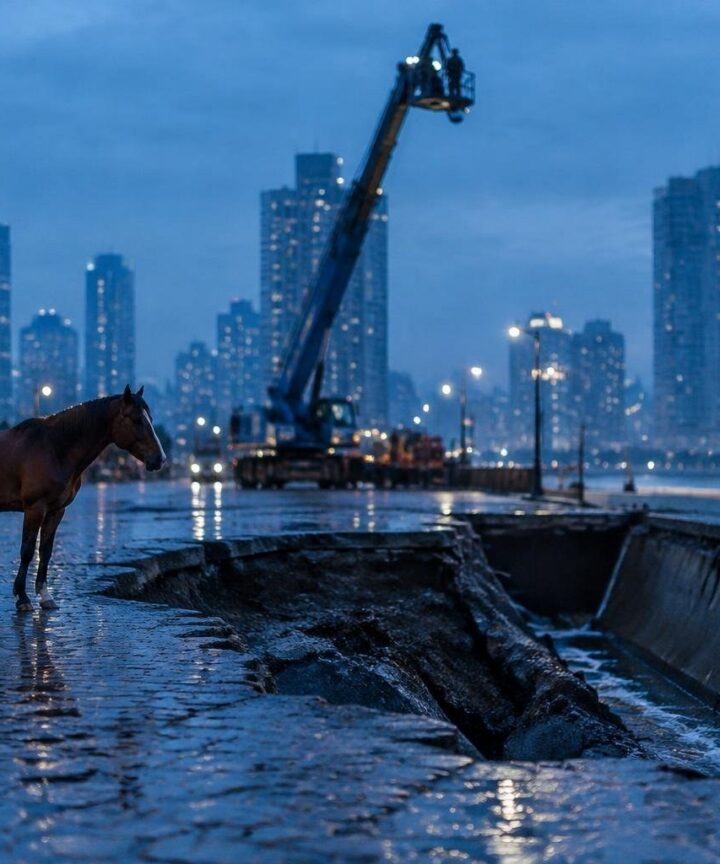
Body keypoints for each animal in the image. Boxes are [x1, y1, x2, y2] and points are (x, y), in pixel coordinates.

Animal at [0, 385, 166, 612]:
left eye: (150, 418)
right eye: (136, 420)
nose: (160, 459)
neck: (53, 448)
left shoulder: (56, 510)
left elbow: (46, 551)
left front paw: (45, 596)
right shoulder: (35, 508)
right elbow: (27, 551)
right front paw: (23, 598)